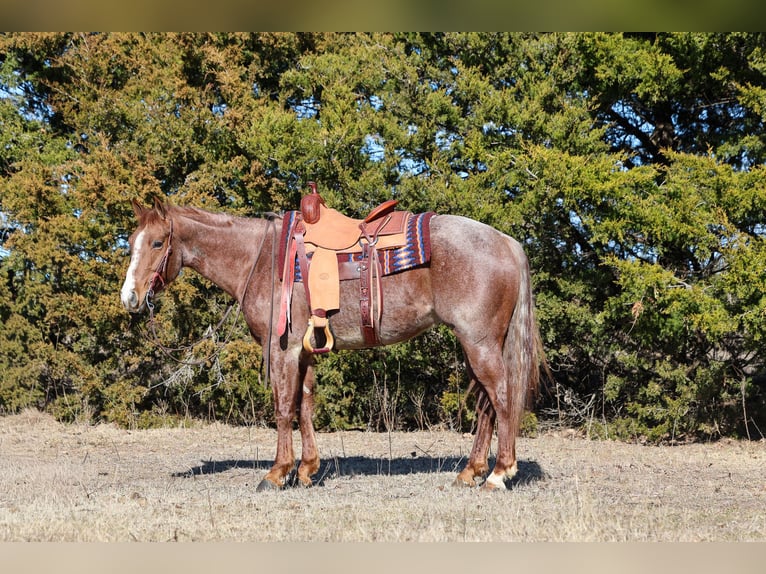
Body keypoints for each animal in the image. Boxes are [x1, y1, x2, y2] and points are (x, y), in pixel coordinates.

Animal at [120, 197, 545, 491]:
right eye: (131, 243)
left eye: (157, 243)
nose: (130, 298)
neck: (261, 259)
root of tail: (506, 241)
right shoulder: (306, 351)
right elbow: (305, 405)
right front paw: (307, 470)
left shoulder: (283, 349)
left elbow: (283, 408)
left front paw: (276, 474)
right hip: (476, 343)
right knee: (486, 403)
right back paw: (470, 472)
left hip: (479, 342)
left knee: (502, 397)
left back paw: (499, 474)